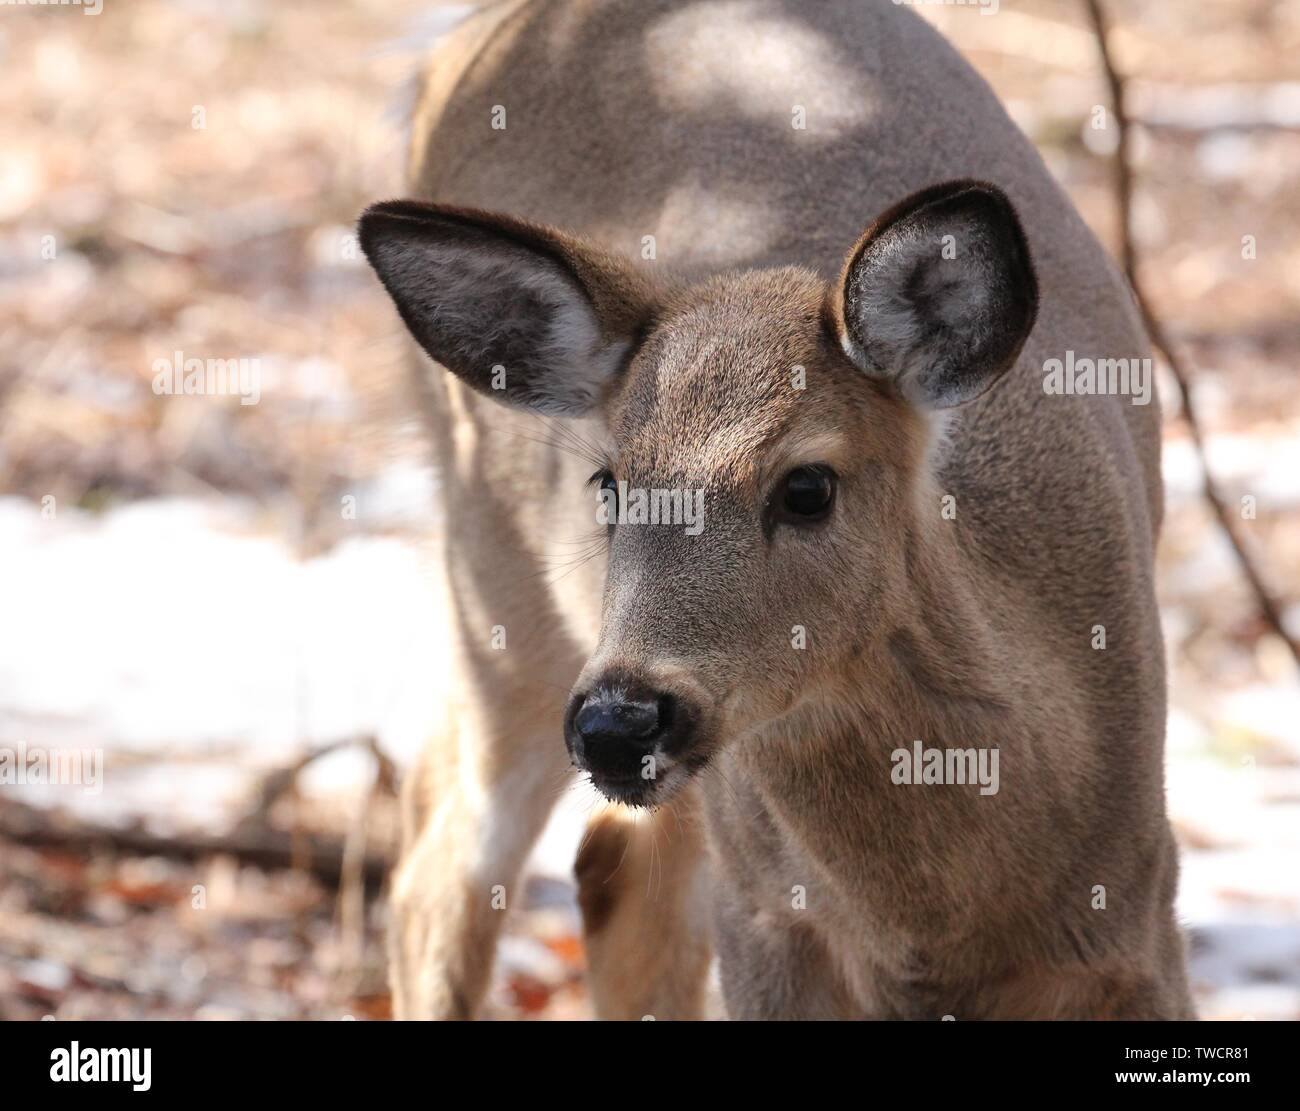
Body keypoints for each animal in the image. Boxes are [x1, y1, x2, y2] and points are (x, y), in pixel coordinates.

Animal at [361, 0, 1190, 1023]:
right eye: (612, 484)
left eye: (807, 486)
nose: (619, 720)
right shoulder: (766, 917)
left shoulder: (1144, 912)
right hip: (496, 579)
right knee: (440, 861)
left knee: (602, 867)